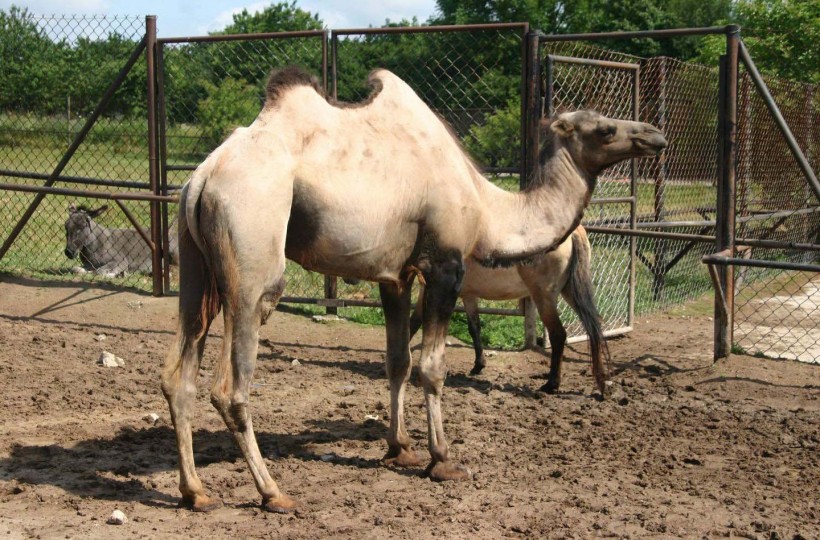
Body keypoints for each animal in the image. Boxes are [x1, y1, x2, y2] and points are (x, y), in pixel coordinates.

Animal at [410, 226, 608, 394]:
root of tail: (574, 231)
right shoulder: (468, 295)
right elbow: (474, 328)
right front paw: (479, 365)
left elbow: (415, 322)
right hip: (570, 291)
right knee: (594, 328)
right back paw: (600, 381)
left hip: (544, 297)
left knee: (558, 335)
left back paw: (551, 384)